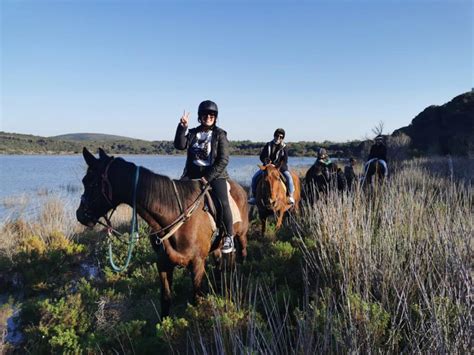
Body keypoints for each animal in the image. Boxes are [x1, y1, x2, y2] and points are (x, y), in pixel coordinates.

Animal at [76, 147, 250, 318]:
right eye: (84, 181)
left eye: (91, 183)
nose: (80, 215)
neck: (174, 216)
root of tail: (240, 188)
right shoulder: (163, 264)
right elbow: (165, 299)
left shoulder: (197, 263)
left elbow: (196, 299)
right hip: (216, 247)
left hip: (240, 235)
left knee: (241, 252)